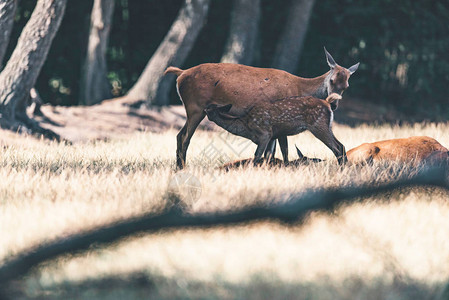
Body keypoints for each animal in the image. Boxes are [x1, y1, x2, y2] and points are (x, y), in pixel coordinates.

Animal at [203, 93, 346, 164]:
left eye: (208, 109)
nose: (203, 110)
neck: (246, 126)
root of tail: (327, 103)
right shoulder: (274, 136)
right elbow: (270, 156)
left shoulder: (265, 133)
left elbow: (257, 155)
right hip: (328, 126)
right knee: (341, 146)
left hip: (318, 125)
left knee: (337, 148)